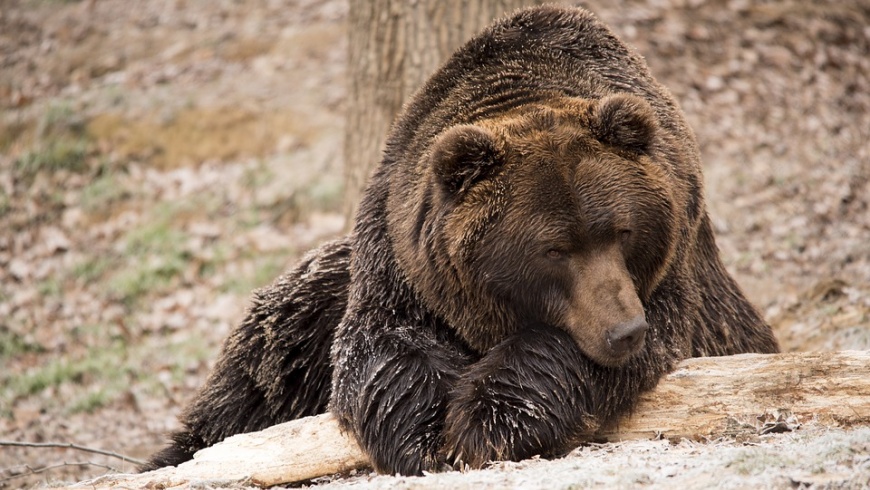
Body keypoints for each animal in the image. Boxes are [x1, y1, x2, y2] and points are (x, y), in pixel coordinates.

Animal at [141, 5, 776, 476]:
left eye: (622, 231)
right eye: (554, 249)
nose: (624, 330)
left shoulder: (670, 277)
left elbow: (574, 349)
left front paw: (485, 420)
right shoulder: (400, 258)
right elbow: (382, 347)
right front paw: (426, 435)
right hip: (313, 302)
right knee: (263, 367)